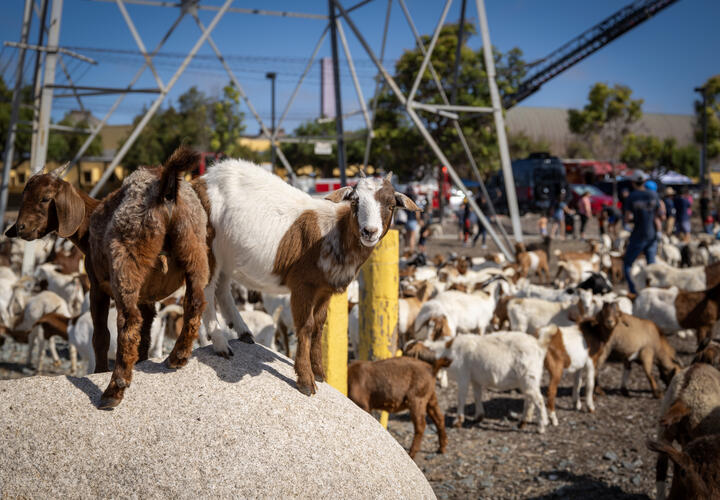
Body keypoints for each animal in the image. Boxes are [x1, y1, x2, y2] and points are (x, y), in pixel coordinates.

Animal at [7, 147, 209, 408]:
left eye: (45, 198)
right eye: (24, 197)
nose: (19, 228)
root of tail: (165, 186)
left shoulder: (96, 286)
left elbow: (101, 336)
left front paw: (100, 370)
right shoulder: (147, 296)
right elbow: (146, 334)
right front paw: (141, 362)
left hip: (126, 261)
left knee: (128, 322)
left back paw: (114, 389)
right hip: (193, 246)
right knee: (194, 302)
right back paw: (178, 356)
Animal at [198, 160, 419, 396]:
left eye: (391, 205)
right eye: (355, 201)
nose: (369, 231)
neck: (334, 233)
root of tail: (206, 176)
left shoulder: (324, 289)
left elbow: (319, 325)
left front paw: (319, 372)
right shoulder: (302, 285)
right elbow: (305, 326)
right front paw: (306, 380)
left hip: (227, 256)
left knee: (222, 288)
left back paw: (243, 331)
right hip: (208, 246)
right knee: (208, 289)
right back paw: (220, 344)